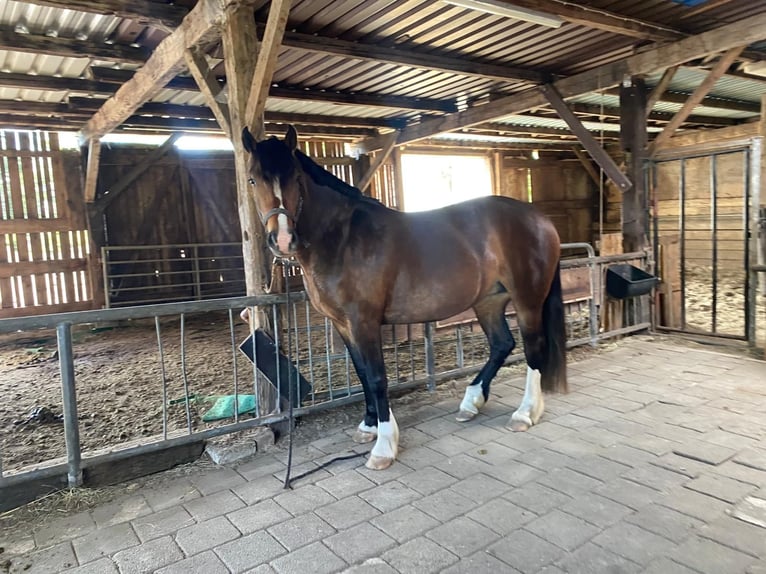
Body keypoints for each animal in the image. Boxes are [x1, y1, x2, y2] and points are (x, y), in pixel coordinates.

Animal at [243, 127, 568, 472]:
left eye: (294, 178)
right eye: (252, 180)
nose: (282, 240)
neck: (342, 238)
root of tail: (539, 217)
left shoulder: (364, 321)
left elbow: (376, 377)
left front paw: (384, 446)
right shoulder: (343, 324)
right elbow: (361, 373)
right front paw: (368, 426)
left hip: (528, 301)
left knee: (534, 348)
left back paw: (525, 413)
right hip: (488, 302)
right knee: (502, 344)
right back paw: (471, 402)